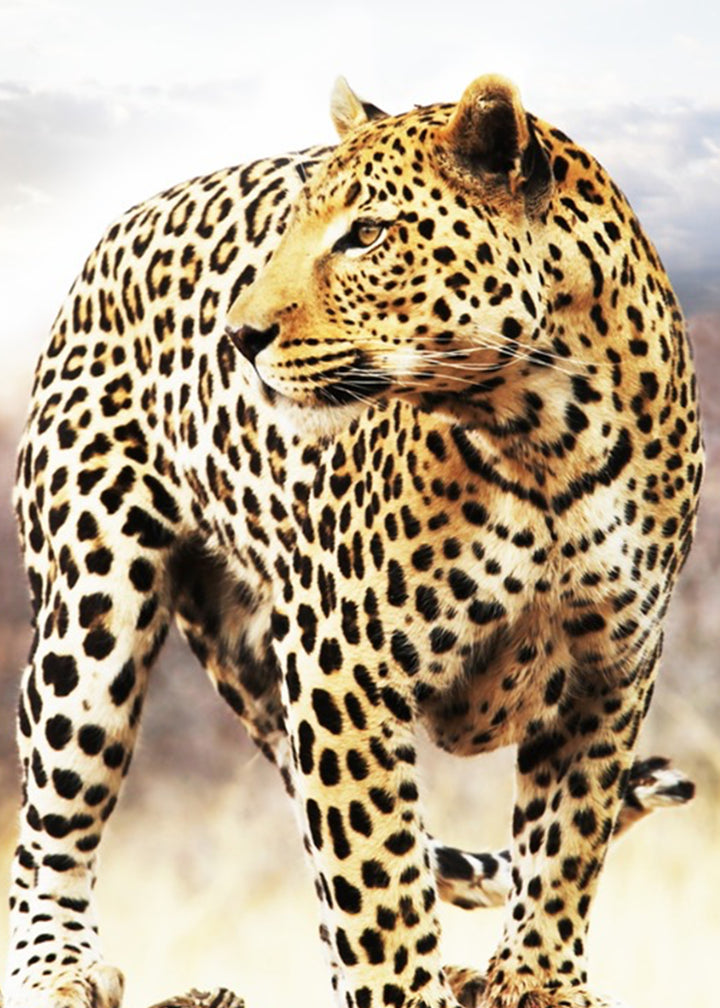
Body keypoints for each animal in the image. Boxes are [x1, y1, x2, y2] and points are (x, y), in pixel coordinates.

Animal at [4, 72, 703, 1008]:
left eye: (367, 235)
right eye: (293, 229)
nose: (239, 337)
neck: (547, 435)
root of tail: (116, 234)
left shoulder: (611, 666)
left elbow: (566, 837)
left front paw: (537, 978)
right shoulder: (343, 663)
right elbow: (378, 874)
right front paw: (411, 989)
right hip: (89, 613)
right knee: (53, 815)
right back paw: (57, 968)